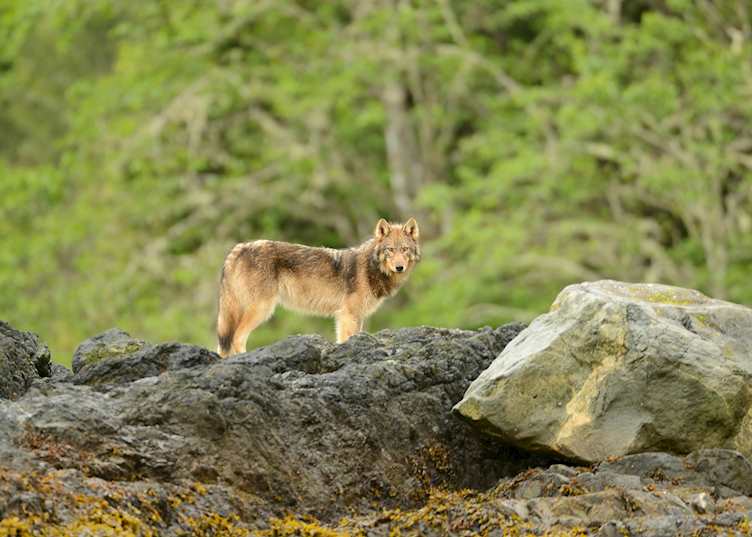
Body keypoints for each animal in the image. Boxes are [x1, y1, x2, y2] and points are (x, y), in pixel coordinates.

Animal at [216, 218, 420, 357]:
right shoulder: (348, 316)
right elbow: (345, 340)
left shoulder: (355, 317)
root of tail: (238, 248)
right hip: (261, 309)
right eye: (390, 250)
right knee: (236, 338)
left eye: (404, 249)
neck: (371, 268)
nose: (399, 267)